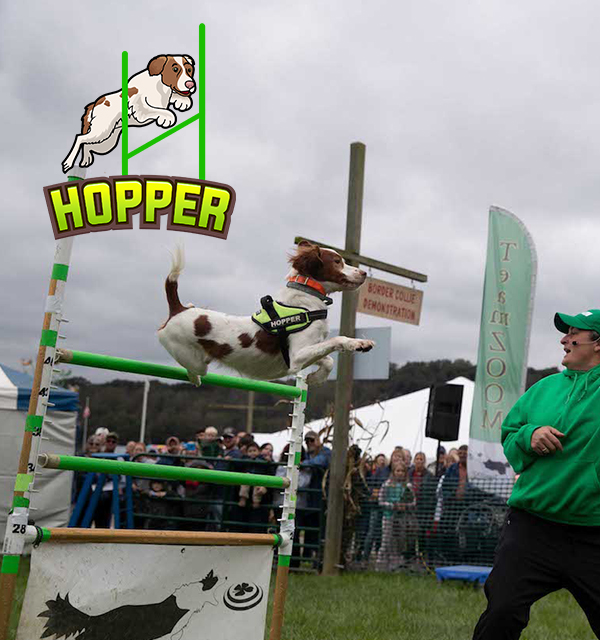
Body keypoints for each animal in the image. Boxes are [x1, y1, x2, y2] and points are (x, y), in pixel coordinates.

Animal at [62, 54, 196, 172]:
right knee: (80, 138)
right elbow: (160, 111)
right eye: (175, 69)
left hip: (107, 141)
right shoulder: (140, 108)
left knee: (87, 143)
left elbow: (177, 97)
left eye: (189, 70)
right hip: (102, 130)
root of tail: (94, 104)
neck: (161, 87)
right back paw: (68, 163)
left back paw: (85, 160)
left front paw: (183, 102)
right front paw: (167, 118)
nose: (191, 84)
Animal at [158, 242, 376, 384]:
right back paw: (195, 379)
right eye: (338, 261)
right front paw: (358, 343)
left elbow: (328, 359)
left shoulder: (304, 351)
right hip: (192, 360)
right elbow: (337, 340)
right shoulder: (297, 356)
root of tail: (177, 309)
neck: (305, 296)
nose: (364, 273)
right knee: (194, 372)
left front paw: (315, 378)